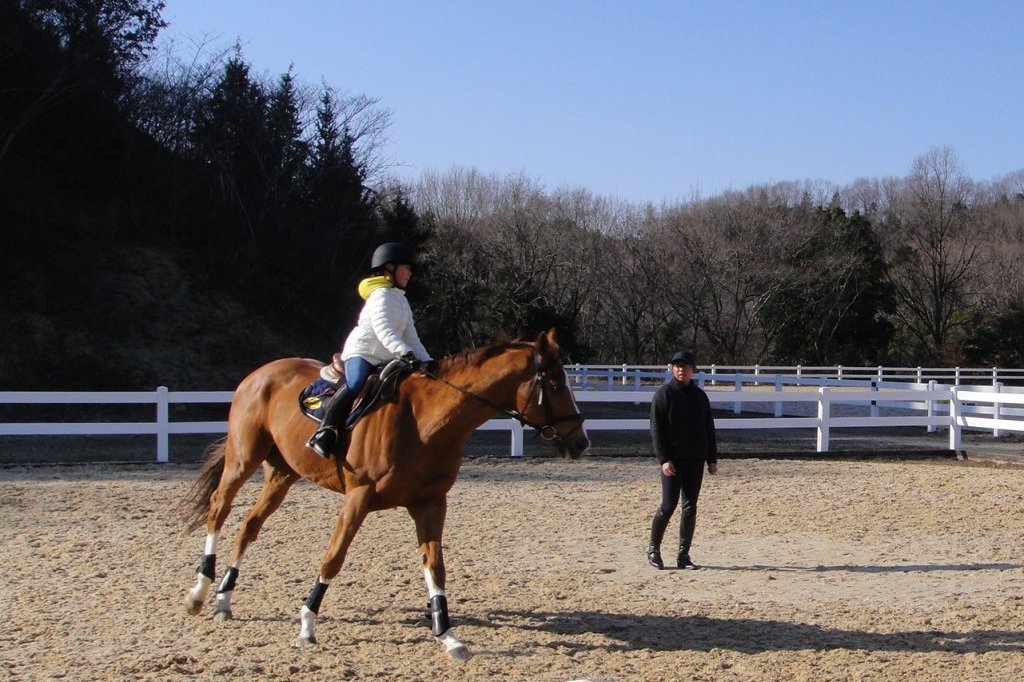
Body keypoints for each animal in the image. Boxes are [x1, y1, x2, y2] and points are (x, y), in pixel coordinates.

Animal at [180, 327, 589, 655]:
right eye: (555, 384)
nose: (580, 441)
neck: (425, 423)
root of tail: (260, 373)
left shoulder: (430, 504)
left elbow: (435, 567)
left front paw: (447, 634)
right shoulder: (358, 498)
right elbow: (333, 559)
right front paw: (307, 624)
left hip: (282, 474)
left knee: (250, 525)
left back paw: (224, 600)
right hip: (242, 460)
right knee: (219, 510)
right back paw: (199, 592)